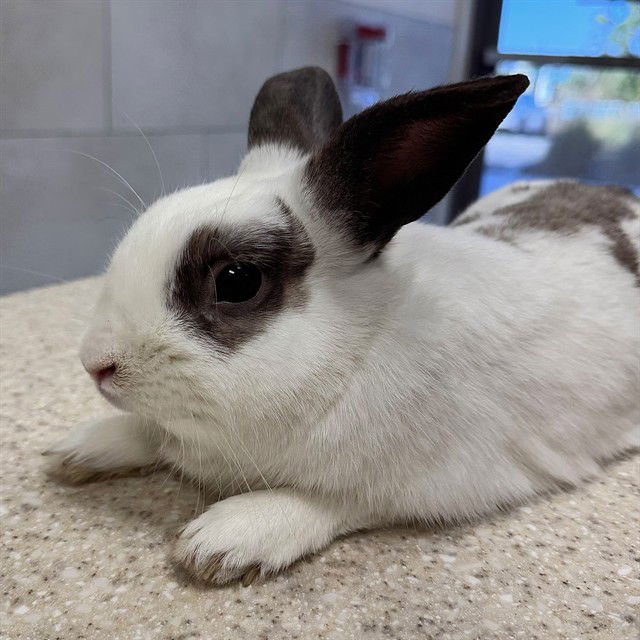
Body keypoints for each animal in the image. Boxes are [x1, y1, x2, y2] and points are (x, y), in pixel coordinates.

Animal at [45, 67, 640, 586]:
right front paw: (77, 449)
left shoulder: (435, 482)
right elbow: (150, 431)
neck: (359, 348)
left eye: (236, 281)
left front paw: (222, 541)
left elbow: (329, 500)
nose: (95, 363)